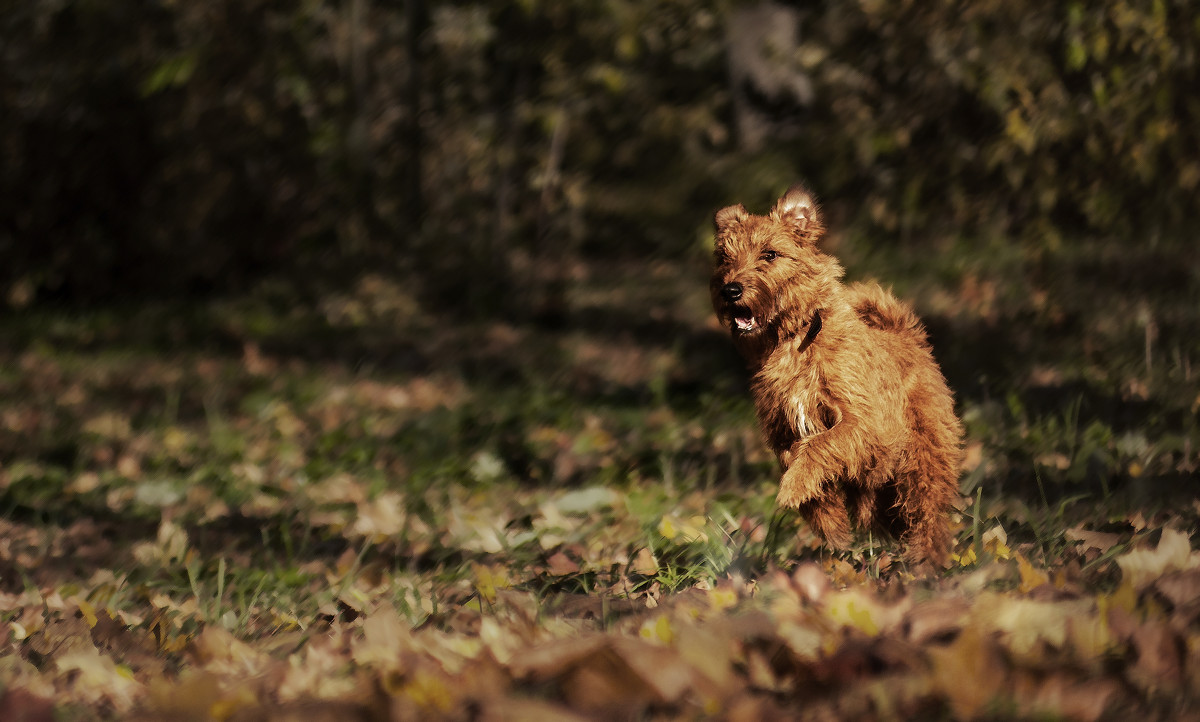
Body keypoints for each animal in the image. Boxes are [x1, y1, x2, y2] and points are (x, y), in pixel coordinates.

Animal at [710, 182, 964, 566]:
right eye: (724, 257)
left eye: (769, 254)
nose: (730, 290)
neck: (794, 341)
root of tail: (907, 335)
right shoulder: (783, 432)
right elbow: (799, 457)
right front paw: (827, 519)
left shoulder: (864, 423)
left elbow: (819, 445)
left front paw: (793, 488)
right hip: (875, 494)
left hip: (922, 460)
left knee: (928, 518)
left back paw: (927, 565)